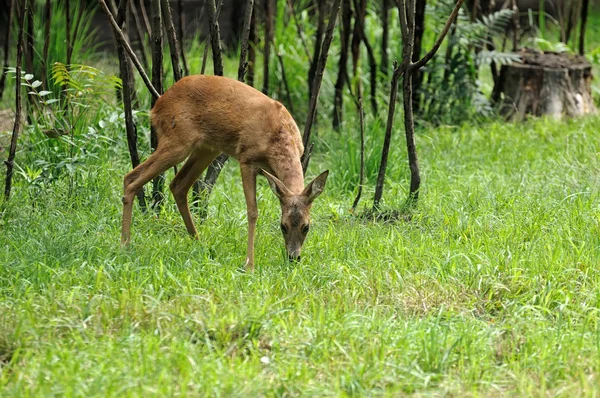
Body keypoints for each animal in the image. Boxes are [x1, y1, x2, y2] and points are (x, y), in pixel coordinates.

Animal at [120, 74, 330, 270]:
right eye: (283, 226)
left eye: (306, 226)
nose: (294, 258)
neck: (278, 138)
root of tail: (156, 106)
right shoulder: (246, 159)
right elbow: (252, 212)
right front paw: (249, 265)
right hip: (177, 141)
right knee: (131, 177)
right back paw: (125, 244)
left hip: (206, 148)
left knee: (178, 184)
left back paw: (200, 243)